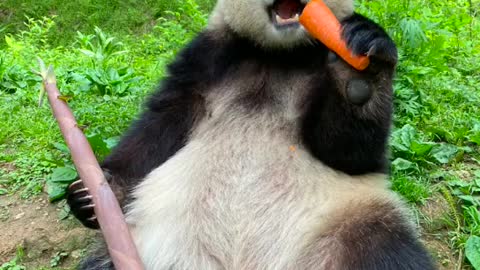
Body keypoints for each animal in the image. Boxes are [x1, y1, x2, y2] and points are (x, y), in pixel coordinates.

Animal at [67, 0, 438, 268]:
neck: (276, 53)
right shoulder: (207, 57)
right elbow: (159, 126)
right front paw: (92, 192)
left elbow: (349, 153)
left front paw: (358, 74)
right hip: (142, 236)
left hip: (344, 219)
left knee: (385, 249)